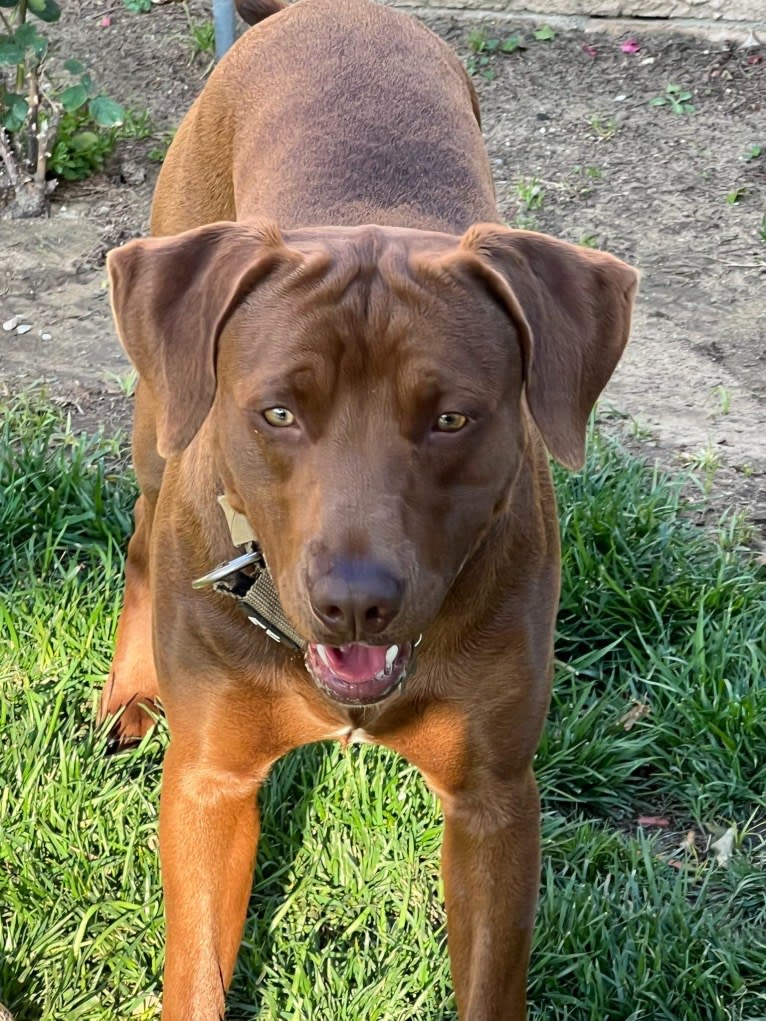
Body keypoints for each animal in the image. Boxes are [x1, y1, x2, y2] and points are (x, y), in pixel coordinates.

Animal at [100, 0, 641, 1016]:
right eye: (278, 411)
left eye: (452, 417)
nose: (356, 603)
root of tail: (318, 11)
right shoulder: (208, 784)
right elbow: (195, 968)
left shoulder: (495, 802)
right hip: (159, 419)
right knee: (145, 531)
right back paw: (128, 692)